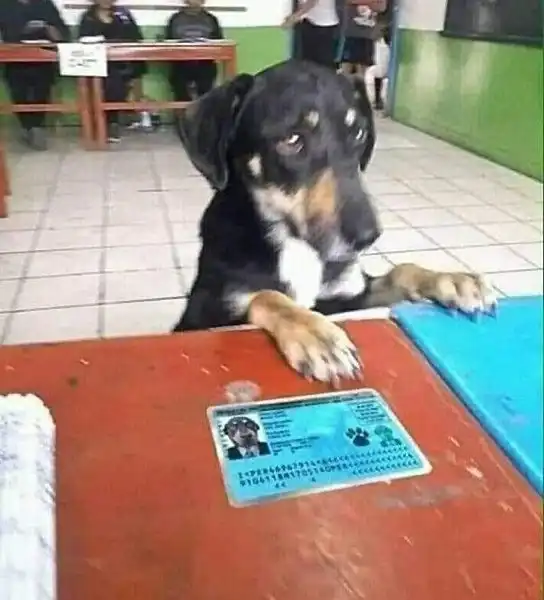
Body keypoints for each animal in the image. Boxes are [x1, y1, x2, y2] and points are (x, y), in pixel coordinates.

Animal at [172, 60, 496, 384]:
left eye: (359, 132)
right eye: (292, 140)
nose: (368, 236)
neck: (293, 241)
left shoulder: (349, 296)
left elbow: (401, 271)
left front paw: (453, 280)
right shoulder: (201, 317)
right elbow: (266, 296)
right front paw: (315, 332)